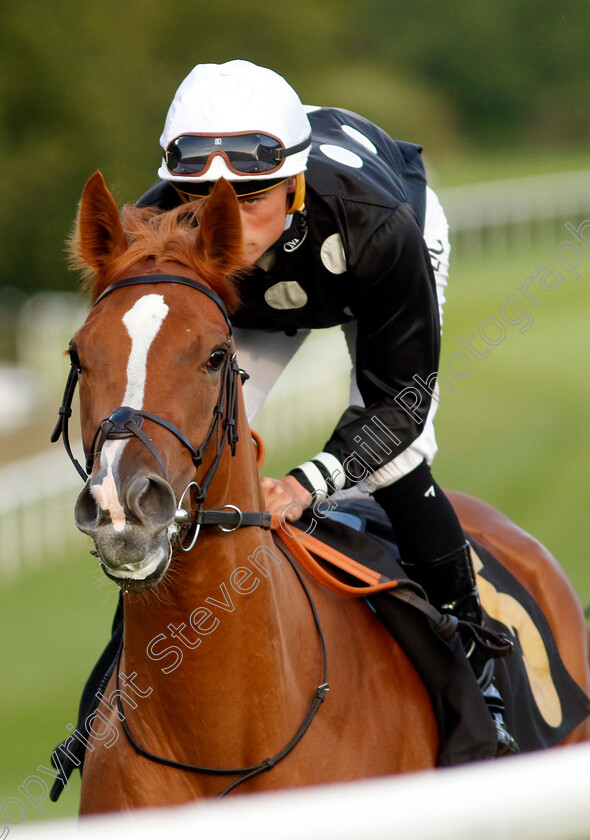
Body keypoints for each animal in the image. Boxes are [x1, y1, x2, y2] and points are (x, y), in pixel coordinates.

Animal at [60, 172, 590, 812]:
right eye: (78, 354)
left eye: (216, 355)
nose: (123, 508)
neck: (223, 741)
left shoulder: (393, 254)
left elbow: (398, 407)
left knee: (402, 461)